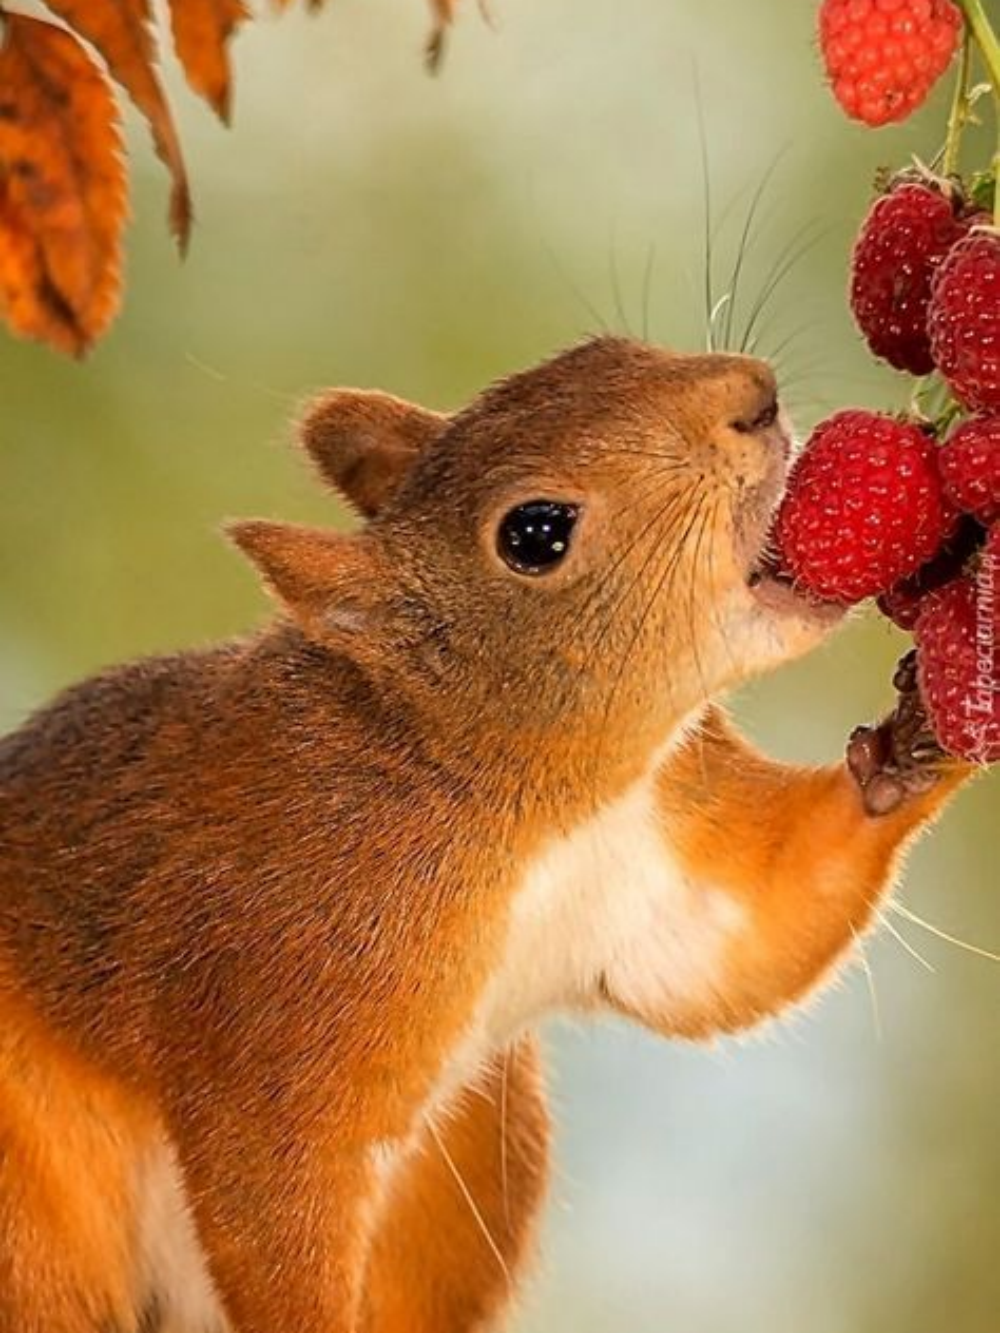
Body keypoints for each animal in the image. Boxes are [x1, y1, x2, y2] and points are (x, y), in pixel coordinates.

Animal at [0, 335, 973, 1333]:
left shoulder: (659, 856)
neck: (531, 810)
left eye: (601, 350)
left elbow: (748, 935)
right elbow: (268, 1199)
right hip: (29, 1201)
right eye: (535, 534)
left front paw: (921, 735)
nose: (754, 395)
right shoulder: (271, 1000)